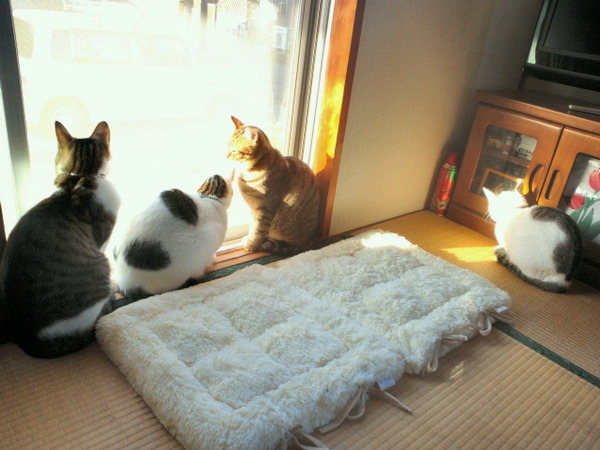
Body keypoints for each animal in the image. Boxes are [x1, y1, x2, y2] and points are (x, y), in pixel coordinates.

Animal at [227, 116, 320, 254]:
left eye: (234, 151)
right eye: (228, 147)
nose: (226, 156)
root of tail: (308, 242)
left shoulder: (265, 210)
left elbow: (258, 230)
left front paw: (252, 244)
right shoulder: (253, 209)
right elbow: (252, 226)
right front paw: (249, 238)